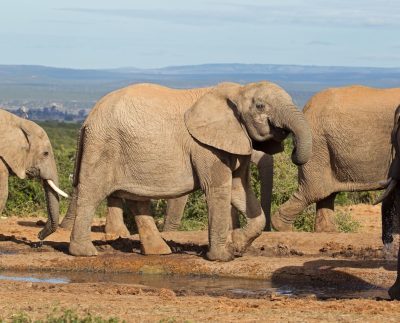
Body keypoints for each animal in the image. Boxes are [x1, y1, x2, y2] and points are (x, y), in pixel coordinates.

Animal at [66, 82, 312, 262]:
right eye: (260, 106)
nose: (293, 152)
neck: (238, 89)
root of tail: (87, 119)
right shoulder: (205, 146)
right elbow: (218, 189)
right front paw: (223, 258)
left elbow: (238, 189)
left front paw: (238, 246)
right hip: (103, 145)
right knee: (92, 193)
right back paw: (85, 253)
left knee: (137, 199)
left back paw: (159, 252)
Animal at [270, 86, 400, 233]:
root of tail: (306, 107)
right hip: (317, 144)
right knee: (315, 191)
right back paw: (285, 229)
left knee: (326, 194)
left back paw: (326, 232)